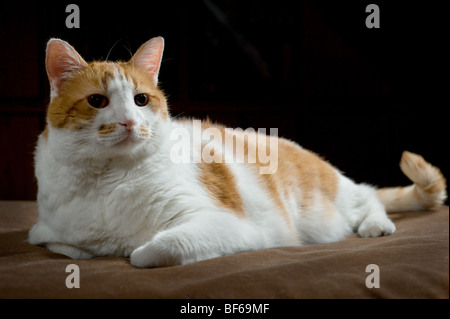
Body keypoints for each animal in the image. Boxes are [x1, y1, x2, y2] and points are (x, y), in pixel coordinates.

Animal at [28, 37, 446, 268]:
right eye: (97, 101)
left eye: (141, 100)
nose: (130, 121)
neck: (110, 180)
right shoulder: (44, 232)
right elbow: (67, 249)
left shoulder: (228, 225)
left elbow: (149, 251)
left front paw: (134, 249)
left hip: (327, 204)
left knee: (367, 195)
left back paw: (375, 224)